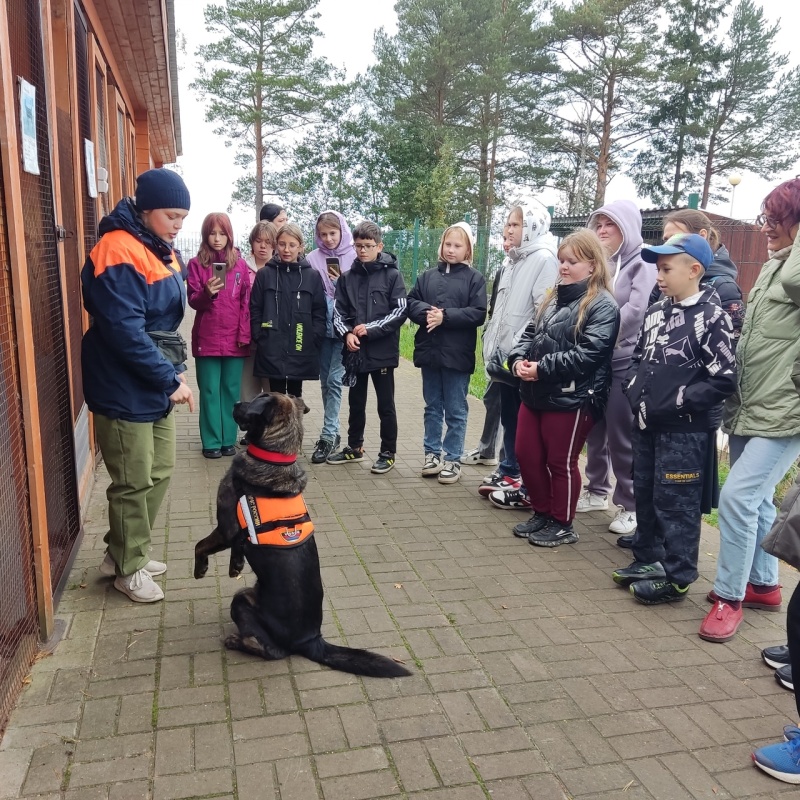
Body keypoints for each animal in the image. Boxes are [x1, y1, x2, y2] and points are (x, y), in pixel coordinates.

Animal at [192, 390, 406, 680]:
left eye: (255, 399)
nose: (236, 402)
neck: (274, 456)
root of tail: (312, 640)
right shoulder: (236, 532)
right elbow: (238, 547)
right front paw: (235, 564)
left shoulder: (225, 528)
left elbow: (199, 545)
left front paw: (200, 568)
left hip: (242, 600)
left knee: (272, 651)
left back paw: (237, 641)